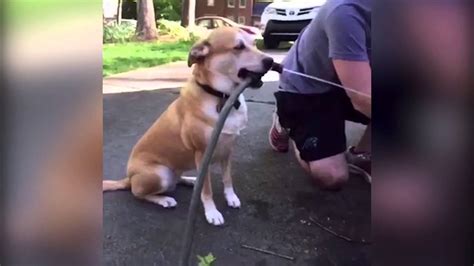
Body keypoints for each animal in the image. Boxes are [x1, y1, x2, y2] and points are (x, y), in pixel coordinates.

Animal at [103, 28, 274, 225]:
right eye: (238, 47)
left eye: (254, 43)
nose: (270, 61)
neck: (221, 96)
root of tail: (129, 179)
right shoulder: (202, 154)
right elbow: (207, 190)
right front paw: (212, 212)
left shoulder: (227, 150)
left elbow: (227, 178)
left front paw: (231, 197)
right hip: (160, 174)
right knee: (138, 193)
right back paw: (164, 199)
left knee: (177, 180)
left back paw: (190, 180)